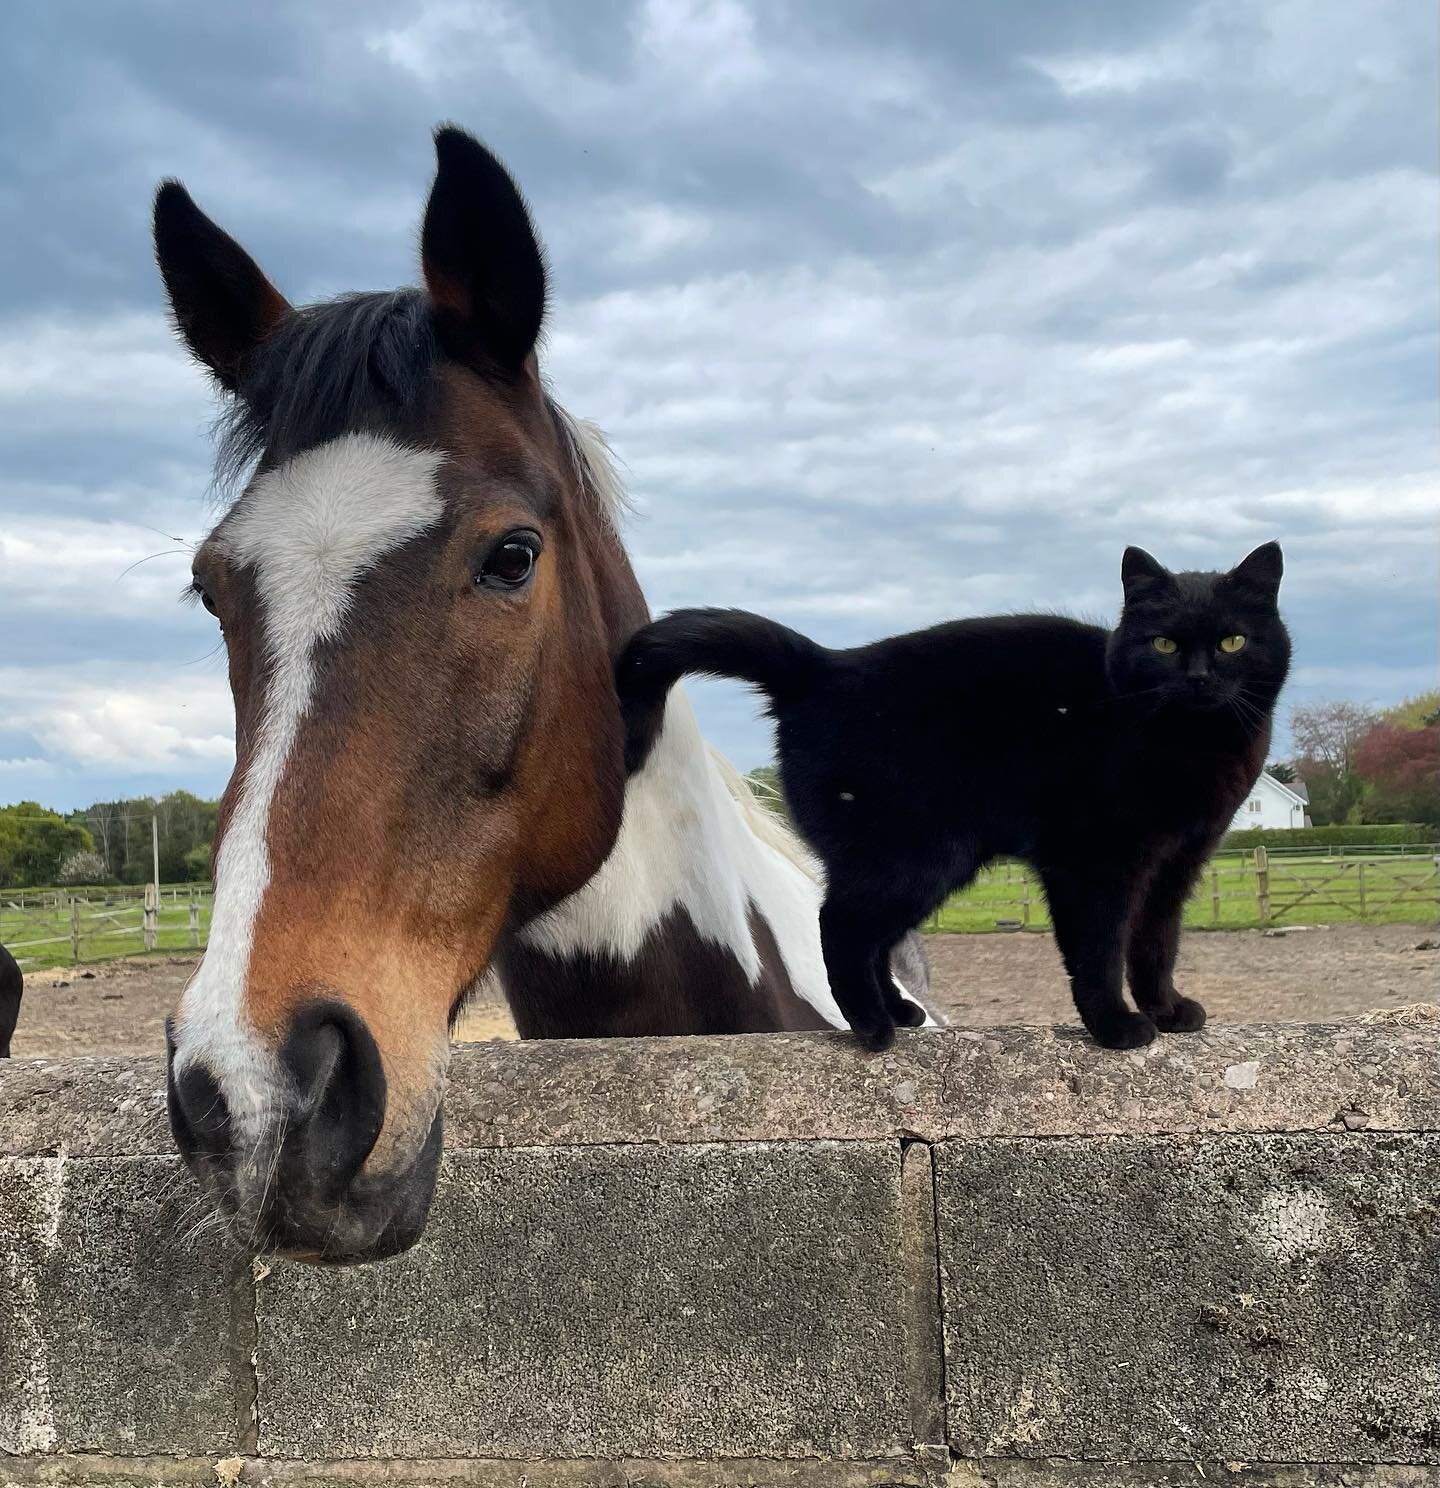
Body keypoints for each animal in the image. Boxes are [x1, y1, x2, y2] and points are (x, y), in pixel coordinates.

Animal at [612, 544, 1285, 1047]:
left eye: (1232, 642)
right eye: (1164, 645)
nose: (1198, 678)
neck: (1191, 744)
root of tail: (825, 666)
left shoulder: (1179, 862)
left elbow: (1155, 943)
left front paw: (1168, 1010)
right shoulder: (1091, 863)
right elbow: (1098, 949)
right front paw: (1116, 1027)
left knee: (872, 938)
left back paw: (896, 1013)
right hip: (920, 855)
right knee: (841, 925)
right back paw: (870, 1028)